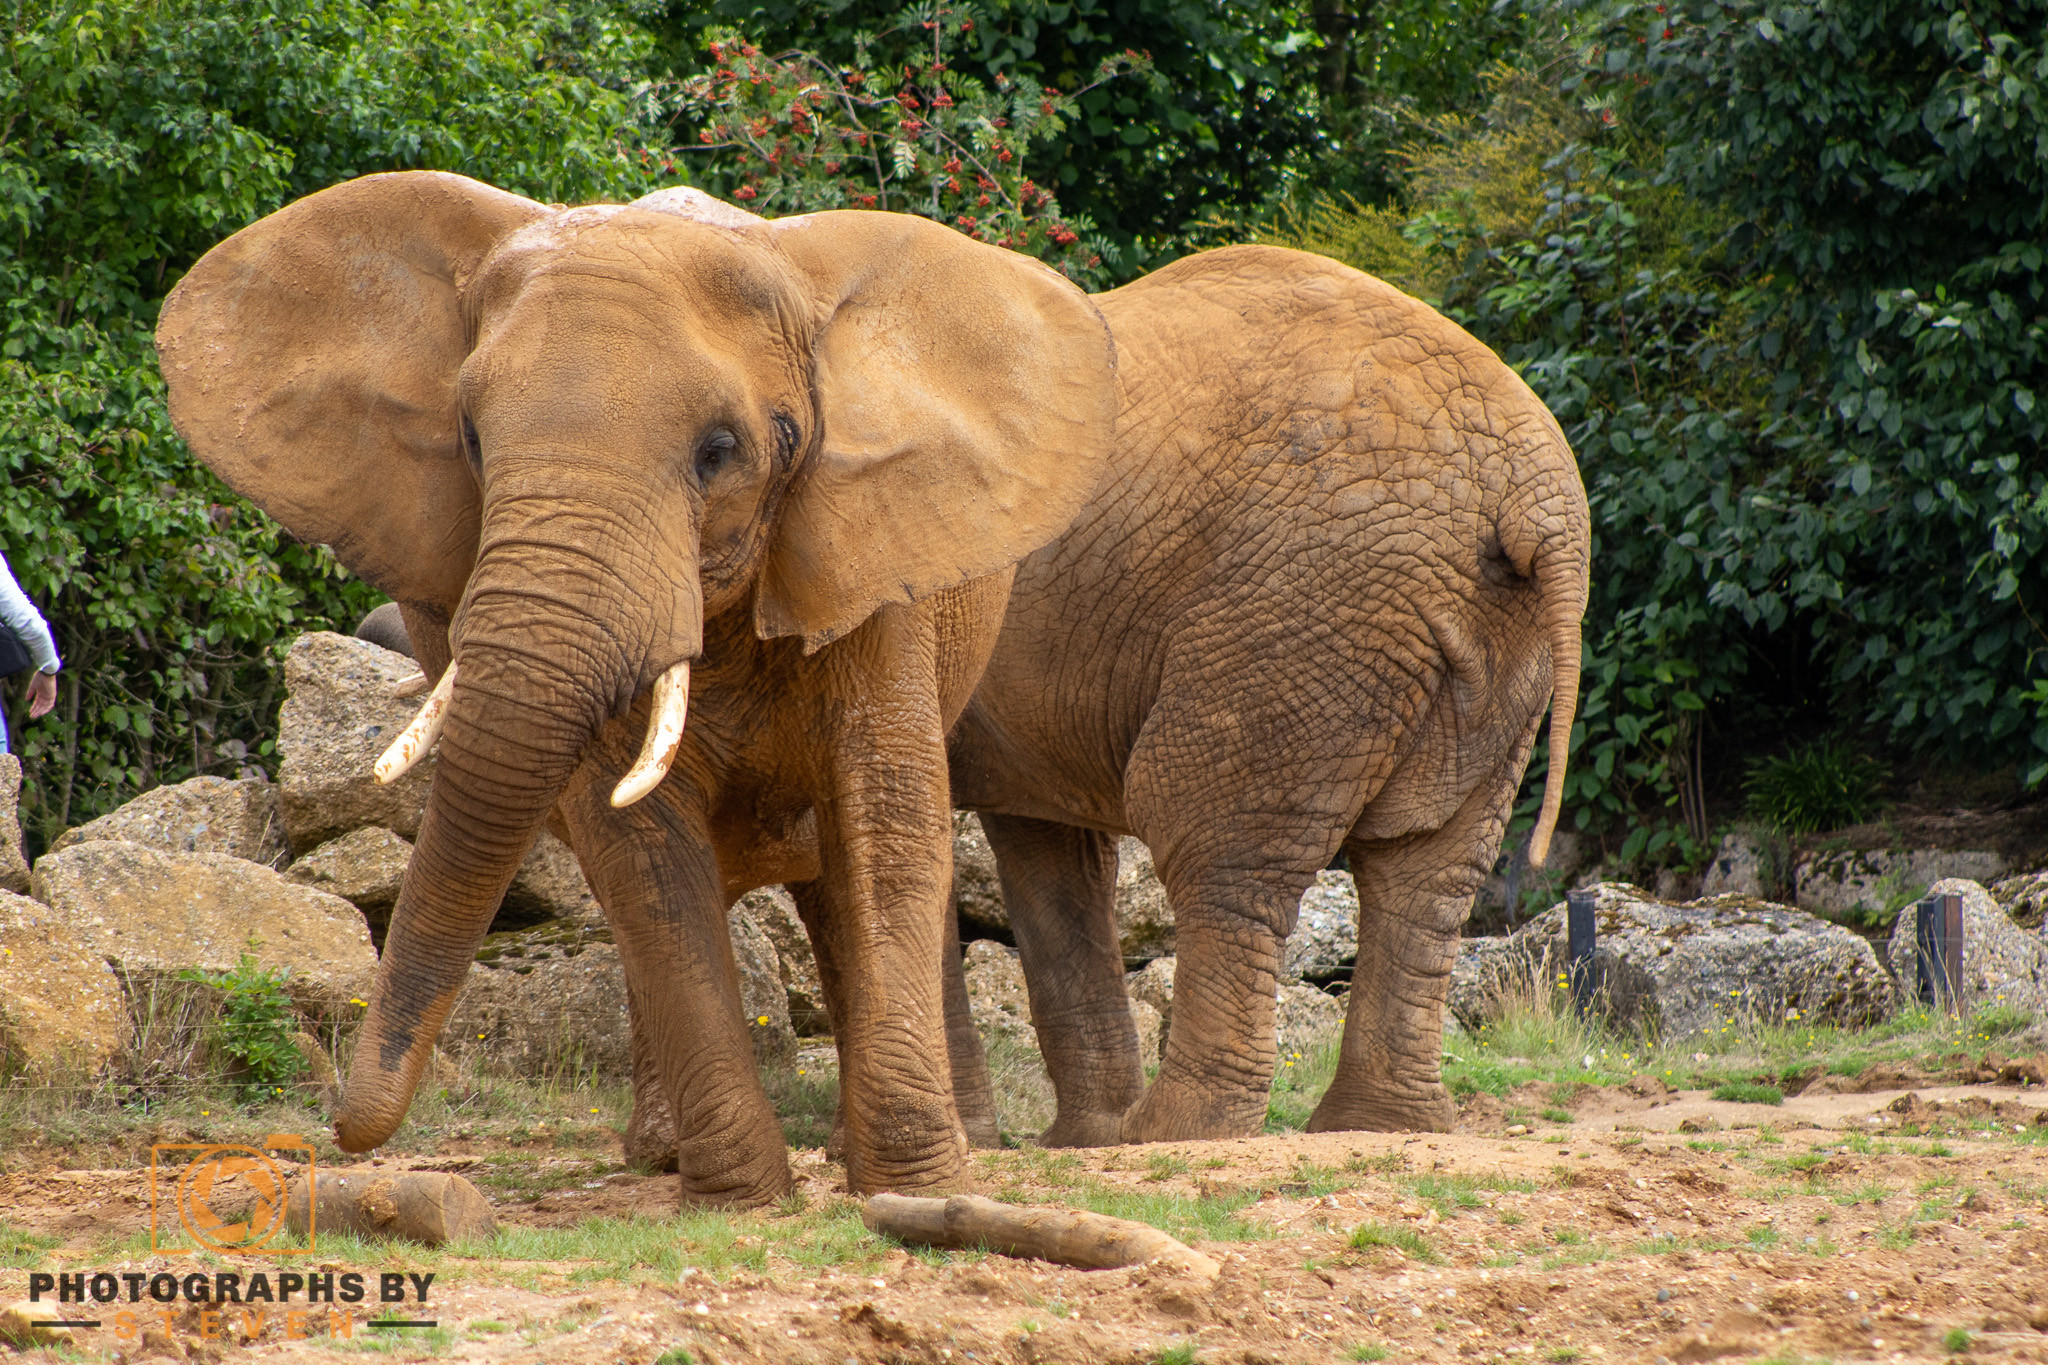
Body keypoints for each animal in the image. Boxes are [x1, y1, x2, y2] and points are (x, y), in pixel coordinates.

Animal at [155, 170, 1116, 1203]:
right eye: (471, 440)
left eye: (721, 450)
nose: (342, 1134)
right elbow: (645, 856)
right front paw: (741, 1194)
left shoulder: (872, 566)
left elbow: (887, 823)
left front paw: (917, 1187)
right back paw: (663, 1153)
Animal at [940, 245, 1590, 1144]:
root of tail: (1538, 499)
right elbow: (1047, 846)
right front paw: (1069, 1140)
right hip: (1486, 647)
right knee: (1428, 867)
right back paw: (1373, 1125)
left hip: (1303, 607)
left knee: (1212, 841)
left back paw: (1174, 1131)